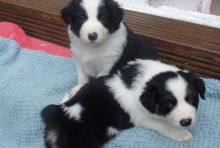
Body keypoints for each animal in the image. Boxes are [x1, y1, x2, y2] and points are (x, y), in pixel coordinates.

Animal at [41, 59, 206, 148]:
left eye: (192, 98)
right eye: (168, 103)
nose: (186, 121)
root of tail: (58, 114)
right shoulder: (143, 118)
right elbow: (164, 125)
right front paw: (181, 133)